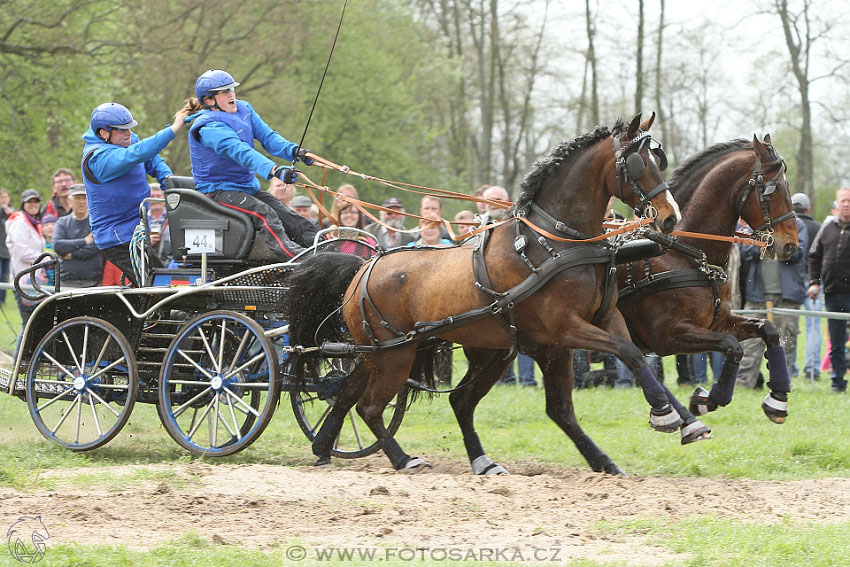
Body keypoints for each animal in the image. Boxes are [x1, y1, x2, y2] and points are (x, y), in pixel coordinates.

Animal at [290, 114, 684, 474]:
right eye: (639, 164)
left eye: (658, 159)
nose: (670, 218)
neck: (553, 242)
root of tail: (362, 269)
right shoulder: (564, 329)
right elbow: (627, 352)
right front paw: (664, 414)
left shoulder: (596, 322)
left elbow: (623, 361)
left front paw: (675, 420)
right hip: (395, 355)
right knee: (370, 406)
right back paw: (402, 458)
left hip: (402, 352)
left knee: (360, 393)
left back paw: (328, 448)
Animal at [612, 135, 800, 428]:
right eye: (773, 188)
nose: (790, 244)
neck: (686, 254)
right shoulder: (668, 337)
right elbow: (732, 346)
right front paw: (708, 399)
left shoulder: (718, 321)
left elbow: (768, 328)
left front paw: (778, 398)